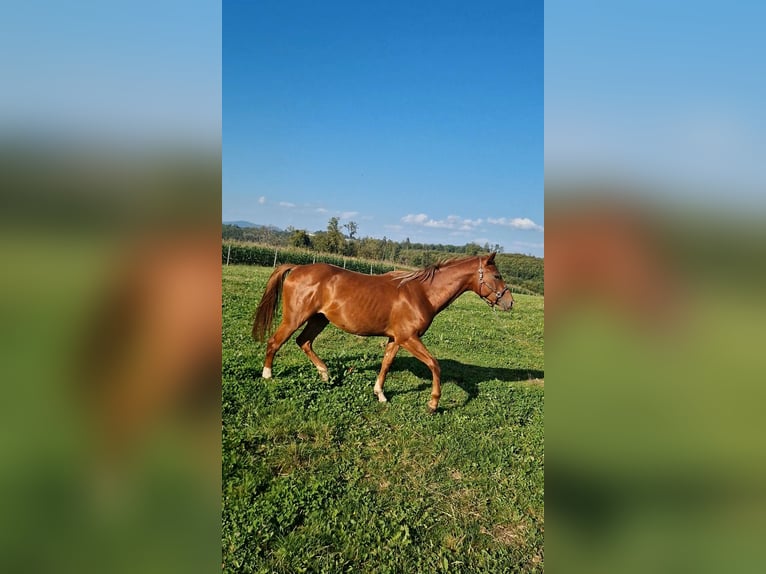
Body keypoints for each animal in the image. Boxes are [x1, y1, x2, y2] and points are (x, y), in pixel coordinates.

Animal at [252, 252, 514, 412]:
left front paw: (380, 394)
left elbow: (386, 364)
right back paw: (267, 375)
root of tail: (297, 267)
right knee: (275, 342)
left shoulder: (395, 339)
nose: (510, 302)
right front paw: (433, 404)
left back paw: (325, 374)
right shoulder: (409, 338)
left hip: (318, 319)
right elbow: (434, 364)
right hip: (295, 318)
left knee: (304, 342)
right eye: (497, 275)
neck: (421, 293)